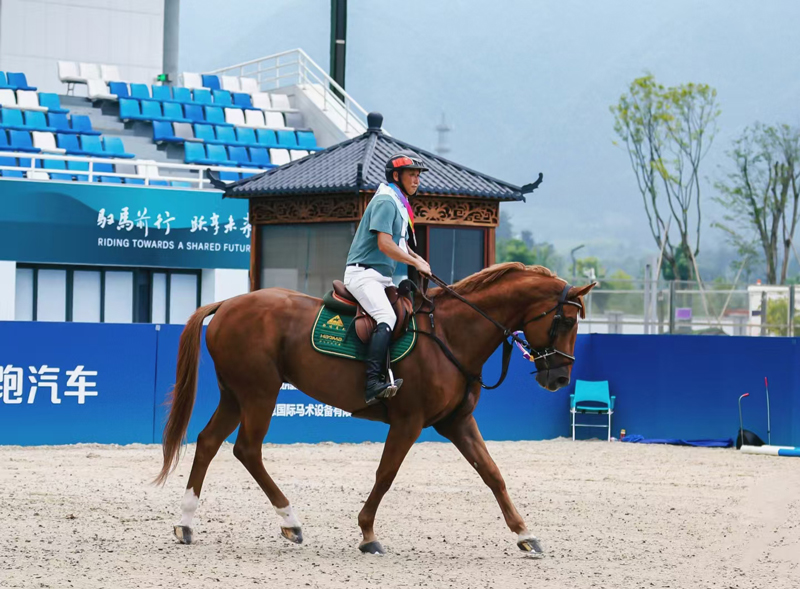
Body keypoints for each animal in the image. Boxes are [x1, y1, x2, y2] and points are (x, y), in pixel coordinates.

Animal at [155, 262, 594, 556]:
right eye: (566, 321)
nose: (559, 378)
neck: (451, 334)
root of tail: (229, 303)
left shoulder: (457, 422)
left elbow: (493, 474)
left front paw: (524, 534)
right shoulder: (408, 422)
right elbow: (386, 474)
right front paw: (368, 535)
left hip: (235, 394)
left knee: (208, 442)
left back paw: (185, 524)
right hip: (260, 393)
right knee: (246, 450)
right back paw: (290, 522)